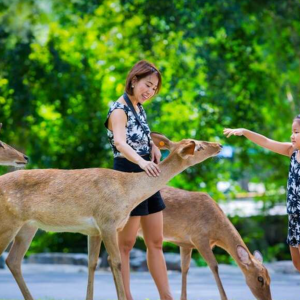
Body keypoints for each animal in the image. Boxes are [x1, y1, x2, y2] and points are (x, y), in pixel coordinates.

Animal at [0, 133, 220, 300]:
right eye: (199, 146)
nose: (218, 144)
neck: (128, 191)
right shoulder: (107, 221)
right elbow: (117, 262)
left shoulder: (95, 229)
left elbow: (93, 263)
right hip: (8, 221)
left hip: (28, 226)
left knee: (13, 260)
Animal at [138, 186, 272, 300]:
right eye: (260, 279)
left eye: (270, 277)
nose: (268, 299)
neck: (216, 232)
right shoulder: (199, 238)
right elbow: (214, 266)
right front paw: (224, 298)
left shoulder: (185, 243)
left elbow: (185, 268)